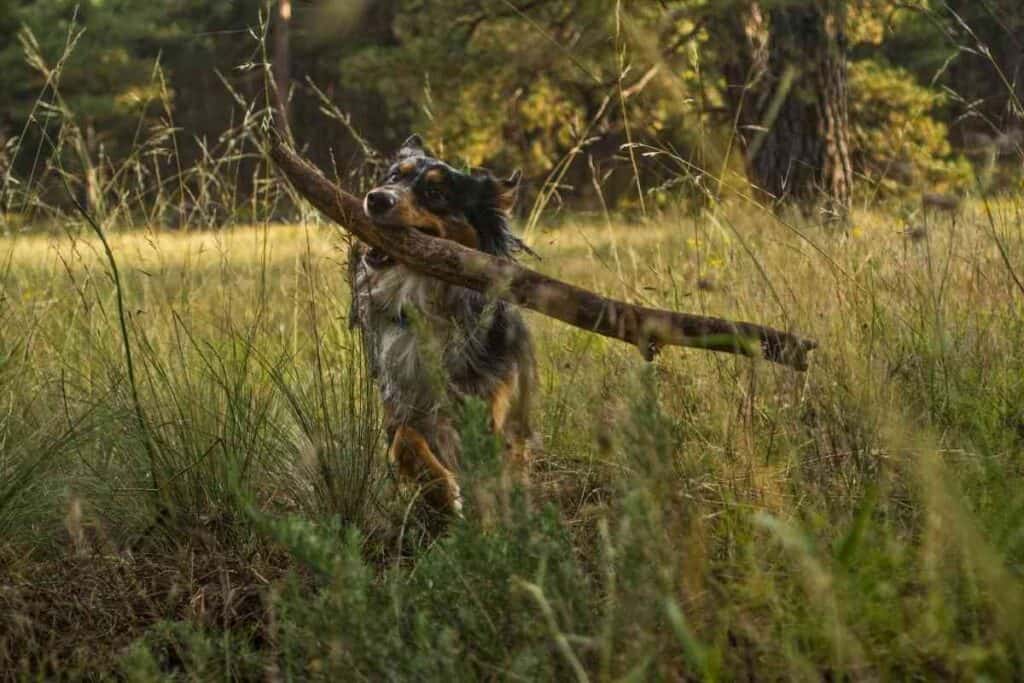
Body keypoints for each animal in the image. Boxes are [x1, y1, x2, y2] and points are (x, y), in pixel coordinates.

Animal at [348, 133, 536, 511]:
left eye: (436, 193)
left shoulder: (489, 406)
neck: (425, 301)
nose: (376, 199)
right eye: (394, 177)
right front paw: (444, 494)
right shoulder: (399, 401)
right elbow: (405, 441)